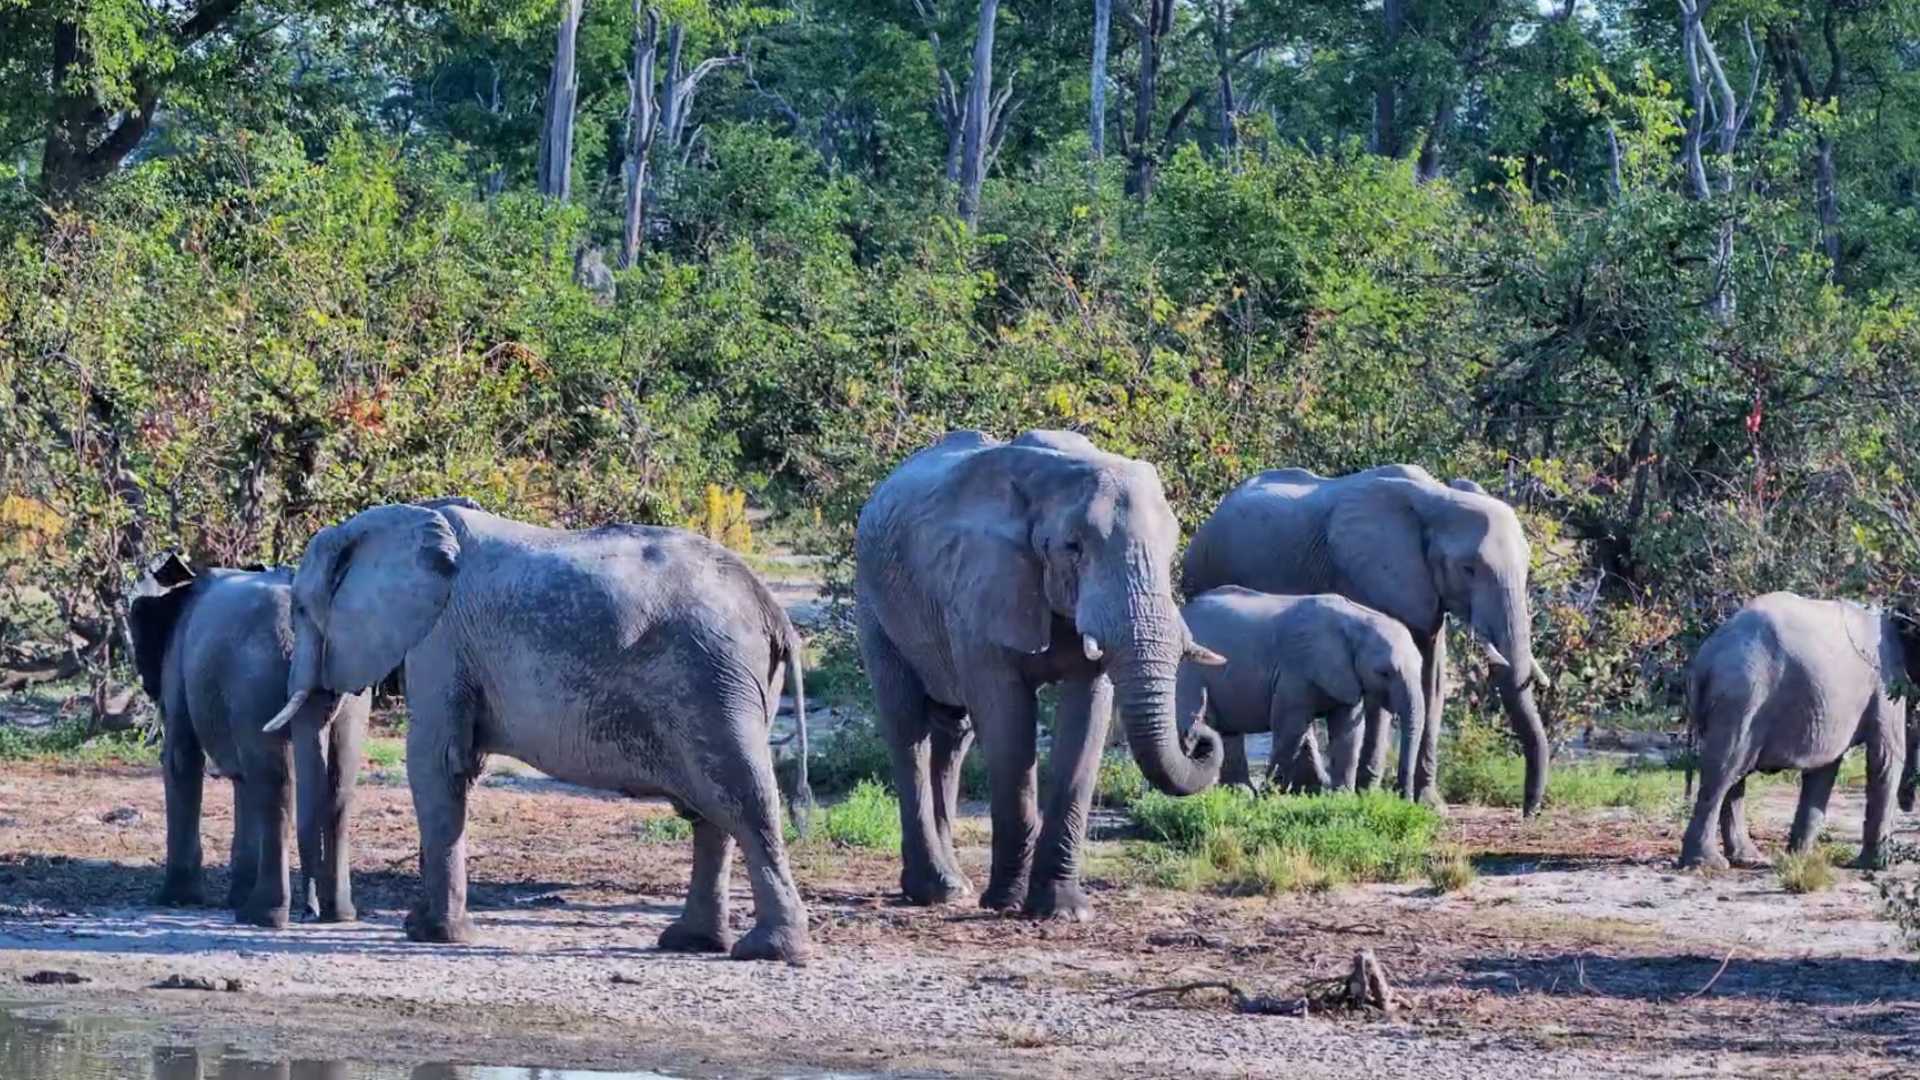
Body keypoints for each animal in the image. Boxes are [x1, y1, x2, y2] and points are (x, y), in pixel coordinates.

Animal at [128, 553, 369, 928]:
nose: (309, 911)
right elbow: (241, 778)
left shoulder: (178, 664)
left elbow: (181, 758)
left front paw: (176, 900)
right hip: (350, 687)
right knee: (339, 783)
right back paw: (337, 915)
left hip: (257, 674)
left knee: (275, 784)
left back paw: (263, 915)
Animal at [260, 498, 814, 964]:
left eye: (302, 610)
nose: (309, 914)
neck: (400, 520)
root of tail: (772, 611)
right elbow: (456, 765)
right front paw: (425, 925)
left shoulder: (439, 639)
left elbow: (435, 761)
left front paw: (429, 933)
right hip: (723, 684)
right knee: (711, 810)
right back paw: (691, 942)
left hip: (711, 679)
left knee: (743, 798)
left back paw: (765, 951)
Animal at [855, 429, 1225, 922]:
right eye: (1073, 548)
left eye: (1172, 549)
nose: (1198, 736)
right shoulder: (980, 586)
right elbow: (1006, 721)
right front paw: (1005, 903)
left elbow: (1087, 720)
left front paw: (1062, 911)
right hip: (875, 601)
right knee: (907, 727)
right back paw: (935, 890)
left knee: (953, 733)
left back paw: (953, 886)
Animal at [1177, 587, 1426, 796]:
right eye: (1383, 673)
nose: (1404, 797)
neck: (1357, 619)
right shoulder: (1295, 670)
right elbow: (1291, 727)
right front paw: (1269, 795)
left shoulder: (1346, 674)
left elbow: (1348, 730)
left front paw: (1341, 797)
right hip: (1189, 673)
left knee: (1228, 733)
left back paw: (1240, 793)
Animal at [1679, 591, 1920, 870]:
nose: (1908, 803)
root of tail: (1705, 657)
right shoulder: (1885, 681)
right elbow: (1886, 756)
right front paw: (1873, 865)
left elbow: (1824, 770)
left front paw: (1799, 859)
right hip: (1743, 696)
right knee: (1724, 769)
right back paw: (1708, 863)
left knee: (1734, 774)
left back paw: (1747, 858)